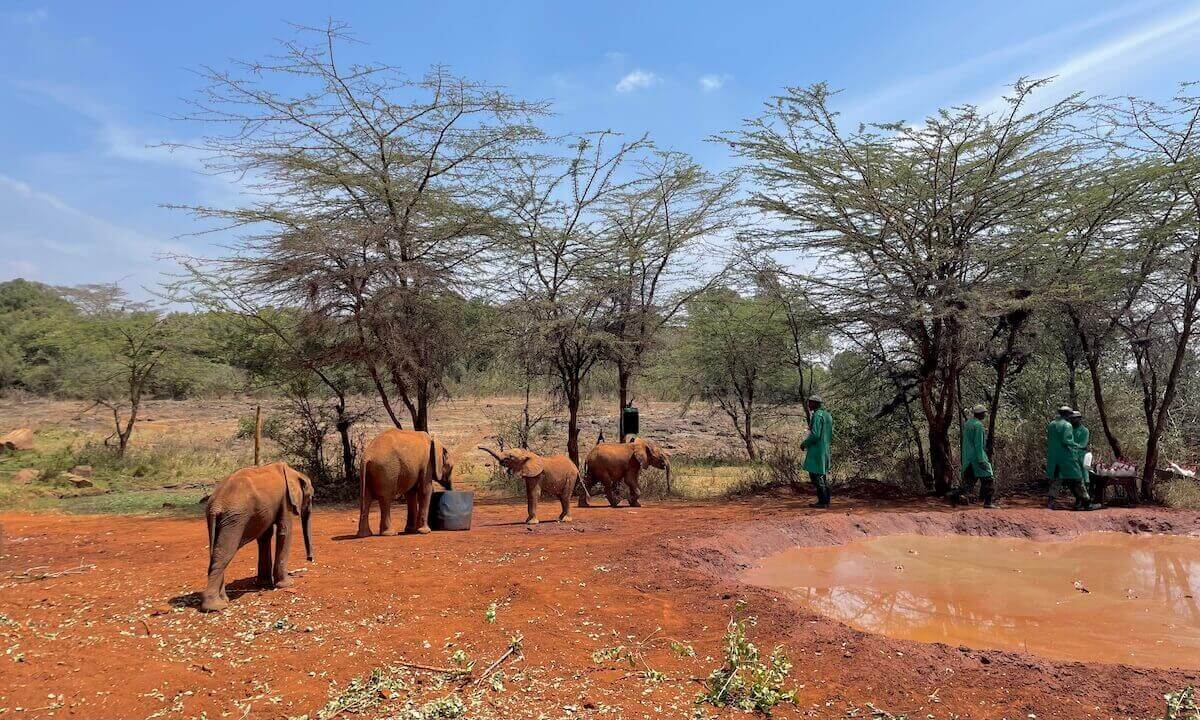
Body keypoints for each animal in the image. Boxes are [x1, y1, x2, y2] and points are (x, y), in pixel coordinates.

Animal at [201, 461, 313, 613]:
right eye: (311, 497)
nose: (310, 559)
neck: (295, 472)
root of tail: (215, 505)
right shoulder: (286, 500)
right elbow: (284, 531)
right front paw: (287, 584)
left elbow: (265, 536)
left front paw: (264, 584)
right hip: (234, 520)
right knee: (224, 553)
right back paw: (216, 607)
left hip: (216, 519)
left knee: (214, 552)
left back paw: (223, 600)